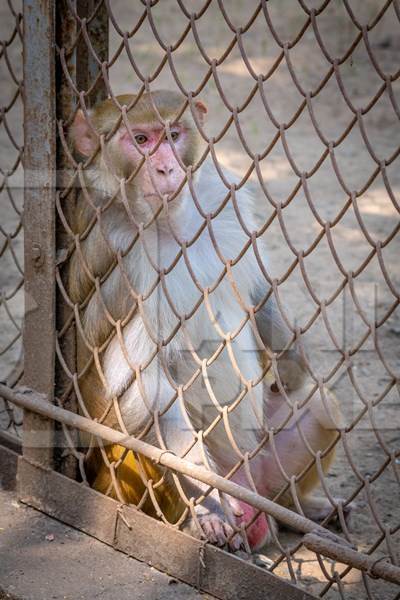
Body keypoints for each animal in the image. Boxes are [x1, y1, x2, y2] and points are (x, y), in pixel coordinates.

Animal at [67, 90, 342, 552]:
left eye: (173, 135)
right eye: (140, 140)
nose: (166, 168)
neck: (171, 223)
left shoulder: (221, 201)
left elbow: (256, 289)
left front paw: (291, 367)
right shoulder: (127, 259)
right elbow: (145, 389)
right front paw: (208, 507)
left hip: (263, 465)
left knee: (326, 407)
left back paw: (300, 509)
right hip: (129, 481)